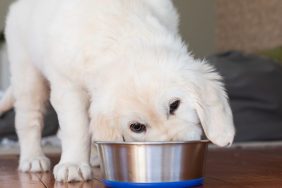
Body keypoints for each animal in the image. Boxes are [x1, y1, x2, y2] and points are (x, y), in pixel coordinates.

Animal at [2, 0, 235, 182]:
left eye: (174, 105)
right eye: (137, 127)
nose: (174, 147)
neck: (123, 34)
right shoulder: (67, 85)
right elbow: (75, 128)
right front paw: (73, 164)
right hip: (26, 73)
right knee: (28, 120)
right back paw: (32, 158)